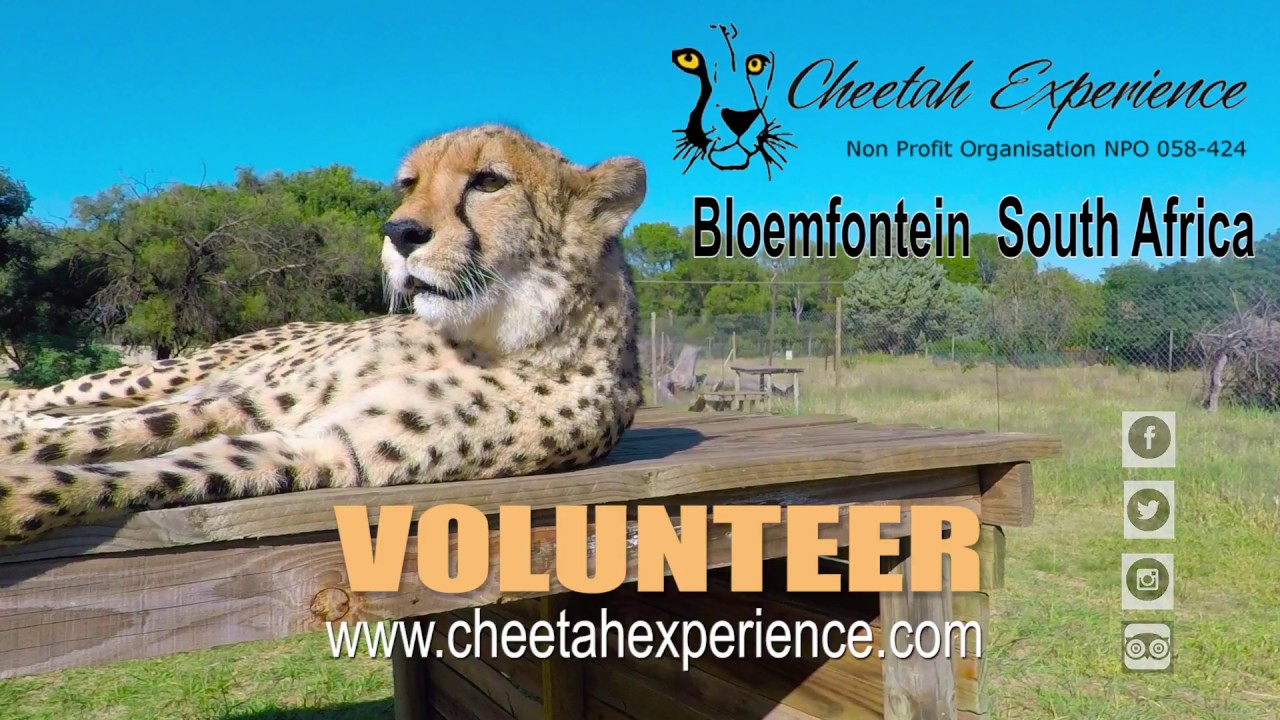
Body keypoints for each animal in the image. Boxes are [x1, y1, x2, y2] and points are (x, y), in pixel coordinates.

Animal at [0, 124, 647, 545]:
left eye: (489, 181)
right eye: (409, 183)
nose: (399, 231)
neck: (491, 335)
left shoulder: (327, 448)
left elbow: (139, 467)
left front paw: (18, 496)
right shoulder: (255, 402)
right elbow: (120, 433)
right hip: (168, 371)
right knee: (58, 399)